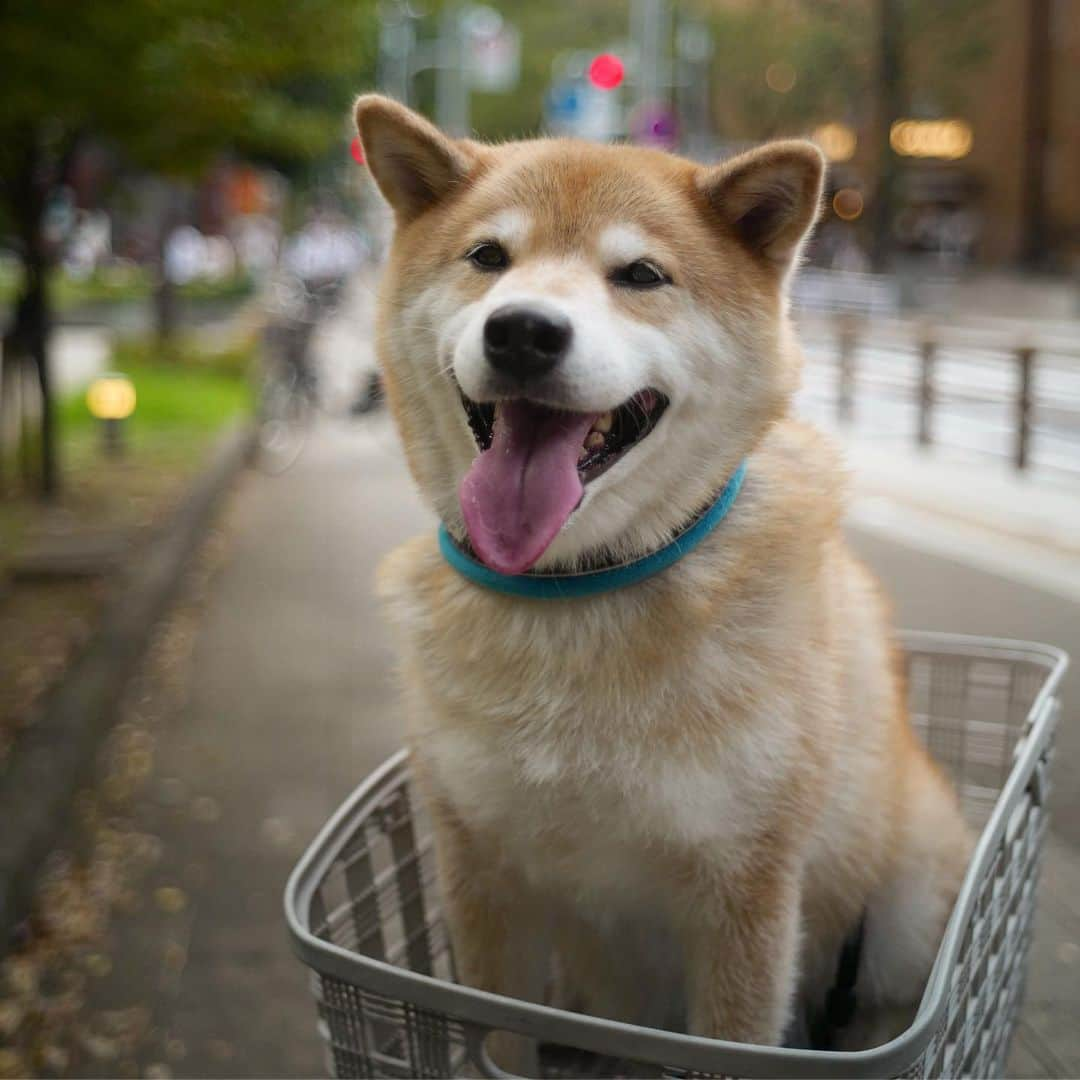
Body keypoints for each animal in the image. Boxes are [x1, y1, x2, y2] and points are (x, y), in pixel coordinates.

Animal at [354, 95, 972, 1062]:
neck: (574, 593)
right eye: (489, 257)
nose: (523, 329)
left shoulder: (745, 894)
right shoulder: (481, 875)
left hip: (904, 902)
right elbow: (497, 1040)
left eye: (640, 275)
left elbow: (736, 1040)